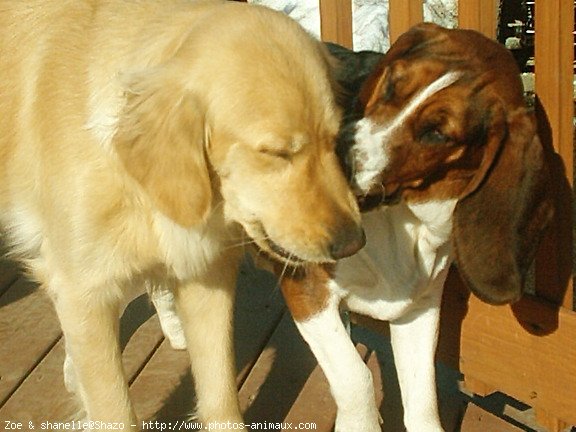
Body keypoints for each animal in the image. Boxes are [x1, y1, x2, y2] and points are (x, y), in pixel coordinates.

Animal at [0, 0, 362, 426]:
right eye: (276, 153)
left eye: (333, 140)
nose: (354, 243)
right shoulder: (85, 289)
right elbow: (114, 408)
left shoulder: (206, 276)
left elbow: (220, 395)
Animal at [282, 23, 556, 432]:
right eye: (391, 85)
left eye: (436, 134)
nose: (328, 157)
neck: (400, 221)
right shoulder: (307, 288)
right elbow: (356, 379)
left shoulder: (419, 309)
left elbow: (423, 401)